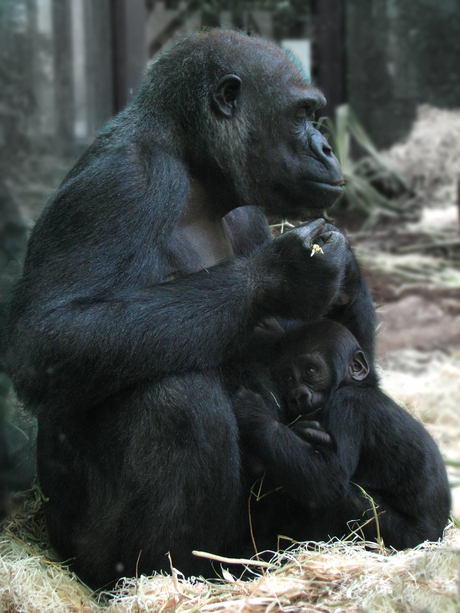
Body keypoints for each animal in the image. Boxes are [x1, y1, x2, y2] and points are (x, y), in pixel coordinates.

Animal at [5, 31, 376, 584]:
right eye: (301, 115)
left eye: (316, 115)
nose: (327, 148)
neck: (195, 165)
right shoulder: (123, 183)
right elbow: (49, 337)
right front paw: (281, 274)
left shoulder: (248, 212)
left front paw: (344, 271)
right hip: (80, 548)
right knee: (175, 394)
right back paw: (161, 574)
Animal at [235, 320, 452, 548]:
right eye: (287, 378)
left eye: (310, 370)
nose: (297, 395)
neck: (353, 384)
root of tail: (438, 536)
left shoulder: (346, 407)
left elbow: (327, 479)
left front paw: (254, 412)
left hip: (406, 538)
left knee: (343, 499)